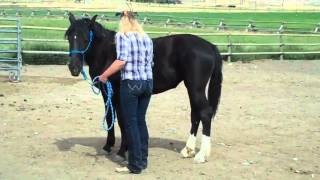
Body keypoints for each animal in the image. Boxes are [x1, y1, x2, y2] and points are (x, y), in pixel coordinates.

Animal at [65, 14, 222, 163]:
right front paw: (108, 146)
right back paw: (188, 150)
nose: (74, 67)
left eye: (86, 38)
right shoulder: (106, 92)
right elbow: (109, 117)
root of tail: (210, 46)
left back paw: (201, 155)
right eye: (69, 37)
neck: (109, 52)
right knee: (195, 114)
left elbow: (122, 120)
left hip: (196, 88)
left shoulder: (118, 93)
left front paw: (122, 151)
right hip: (191, 88)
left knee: (205, 113)